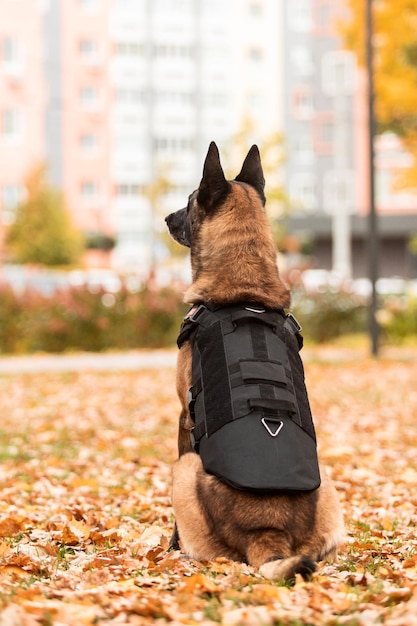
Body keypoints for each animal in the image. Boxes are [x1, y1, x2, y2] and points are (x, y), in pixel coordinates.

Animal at [164, 141, 342, 580]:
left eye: (189, 200)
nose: (166, 218)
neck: (245, 291)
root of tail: (268, 530)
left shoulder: (182, 417)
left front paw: (169, 544)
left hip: (184, 470)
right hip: (329, 483)